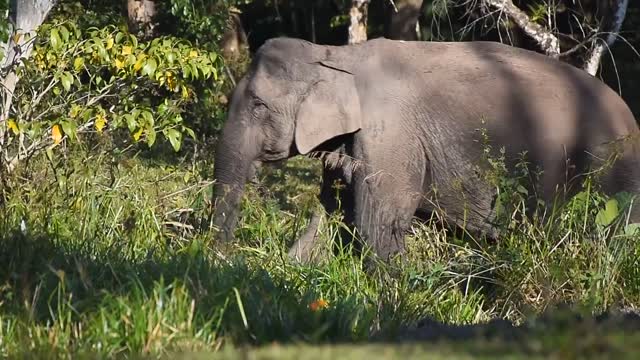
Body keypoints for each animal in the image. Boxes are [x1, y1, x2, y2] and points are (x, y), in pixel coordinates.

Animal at [211, 35, 640, 262]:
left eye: (258, 105)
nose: (222, 256)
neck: (335, 55)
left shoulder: (391, 136)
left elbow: (378, 223)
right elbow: (331, 211)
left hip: (610, 171)